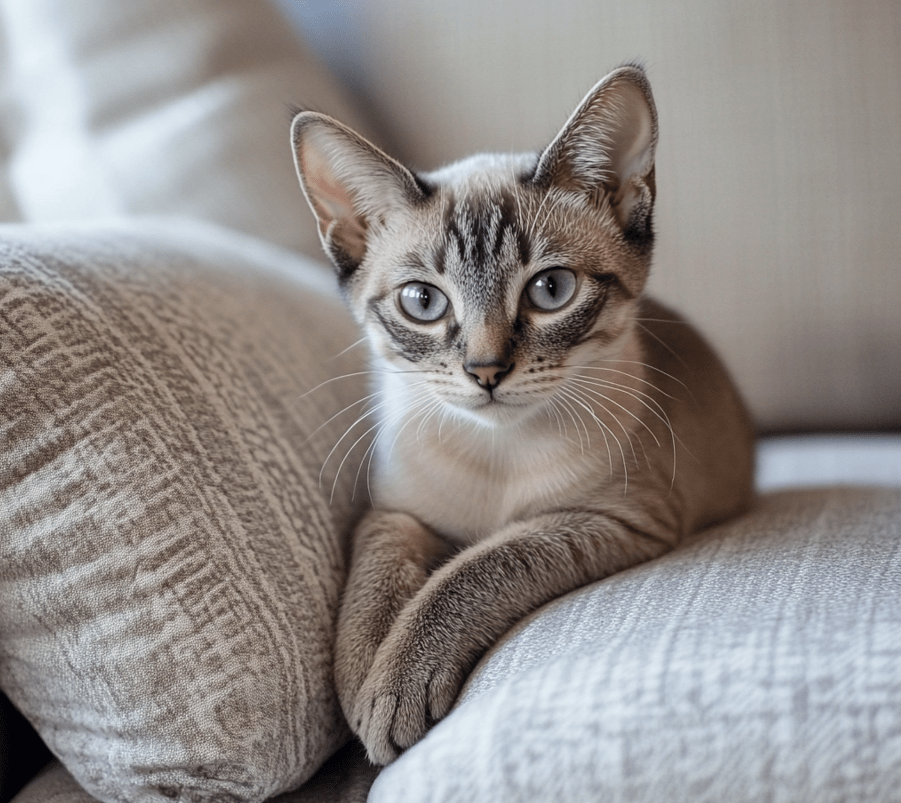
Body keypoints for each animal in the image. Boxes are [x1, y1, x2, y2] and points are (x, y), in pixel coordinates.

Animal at [292, 64, 756, 768]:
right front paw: (363, 678)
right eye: (422, 301)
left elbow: (474, 570)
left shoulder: (613, 520)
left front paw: (393, 683)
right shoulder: (398, 511)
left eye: (550, 291)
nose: (485, 372)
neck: (495, 450)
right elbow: (371, 584)